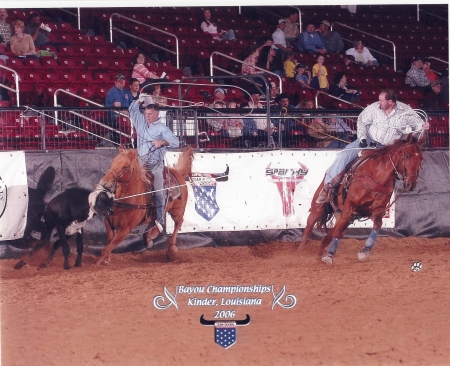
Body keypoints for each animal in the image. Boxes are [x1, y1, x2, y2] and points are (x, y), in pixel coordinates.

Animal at [298, 134, 426, 264]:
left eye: (421, 158)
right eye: (407, 155)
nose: (411, 184)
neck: (377, 176)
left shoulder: (377, 210)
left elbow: (377, 225)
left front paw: (365, 251)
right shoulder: (349, 206)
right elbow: (337, 232)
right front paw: (329, 255)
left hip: (342, 216)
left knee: (331, 234)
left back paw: (319, 254)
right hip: (318, 209)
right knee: (309, 229)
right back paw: (301, 253)